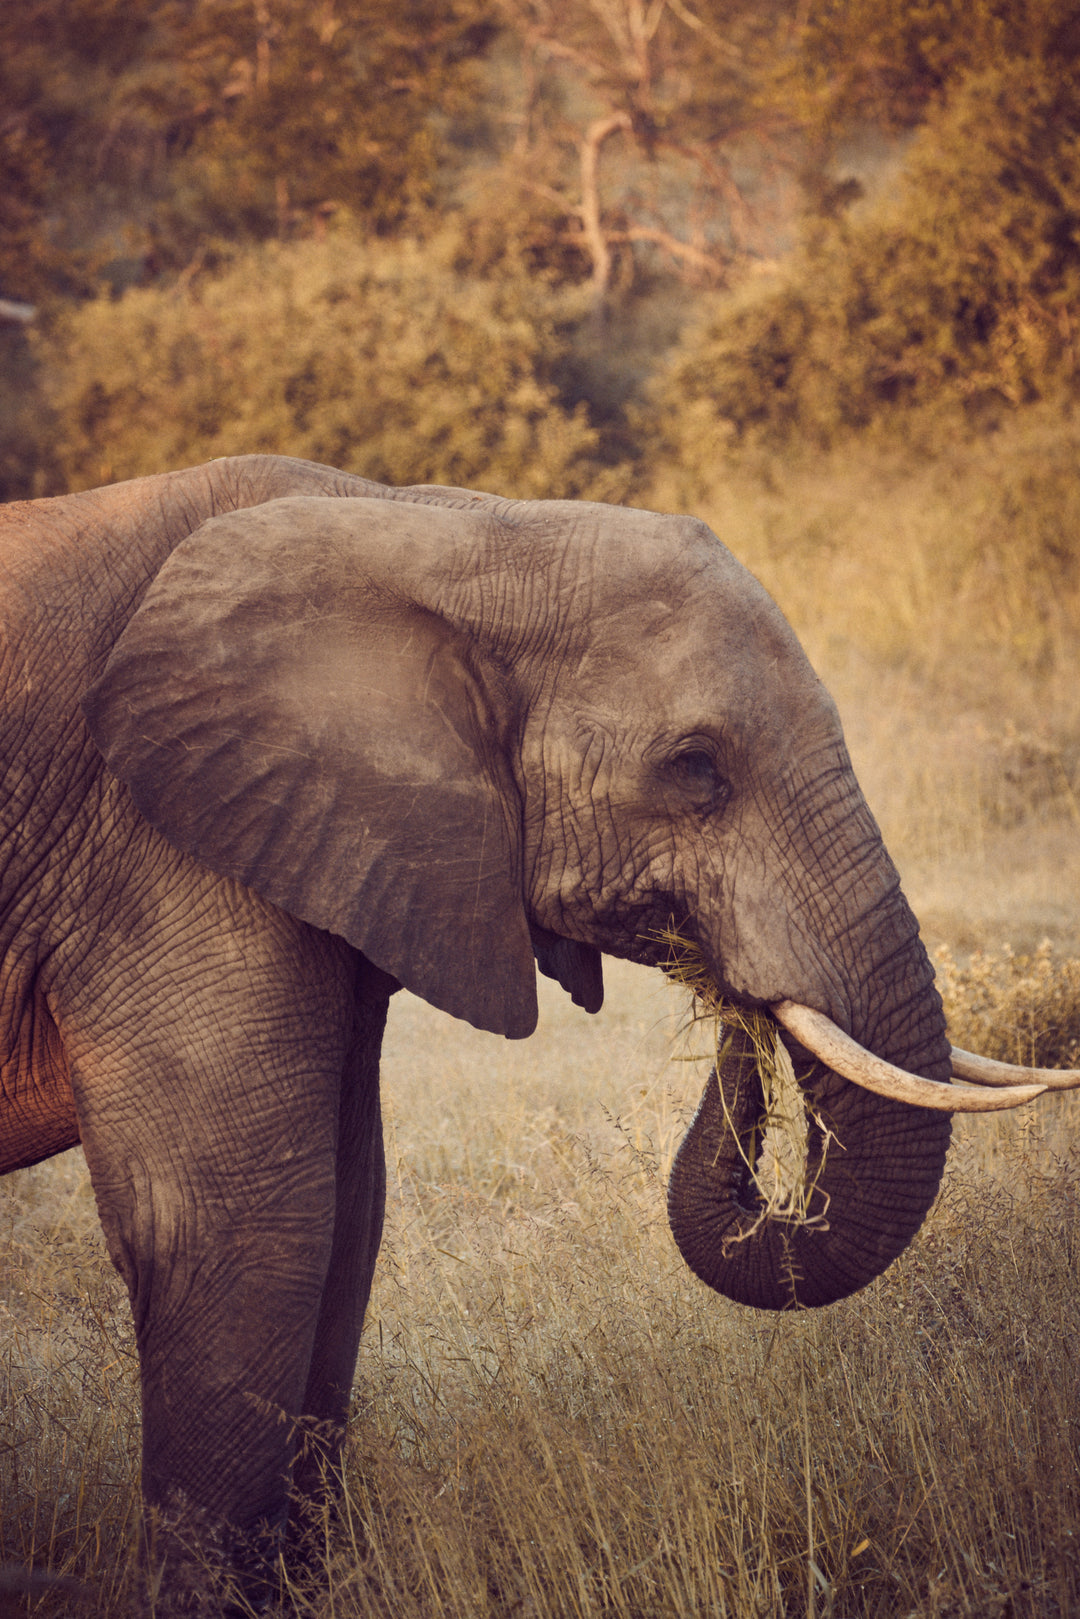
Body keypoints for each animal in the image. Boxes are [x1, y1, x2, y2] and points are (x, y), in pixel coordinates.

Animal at [0, 456, 1075, 1606]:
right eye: (697, 768)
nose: (734, 1000)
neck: (440, 525)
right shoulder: (160, 854)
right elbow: (239, 1225)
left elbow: (346, 1214)